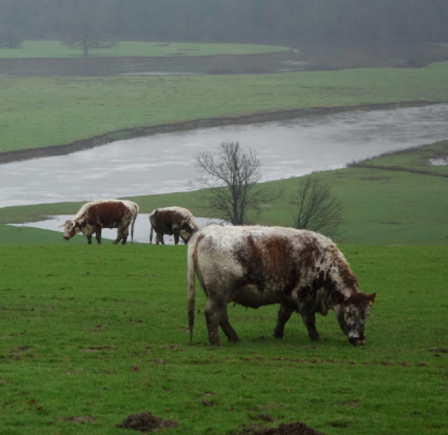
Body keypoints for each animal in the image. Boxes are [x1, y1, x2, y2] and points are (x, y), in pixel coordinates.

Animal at [187, 227, 376, 350]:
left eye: (366, 314)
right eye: (350, 313)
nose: (360, 340)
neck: (323, 260)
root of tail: (204, 232)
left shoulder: (288, 295)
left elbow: (283, 315)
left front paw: (277, 335)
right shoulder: (304, 294)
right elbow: (309, 319)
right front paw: (316, 338)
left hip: (220, 293)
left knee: (222, 315)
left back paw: (234, 338)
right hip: (219, 291)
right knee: (212, 313)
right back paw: (216, 342)